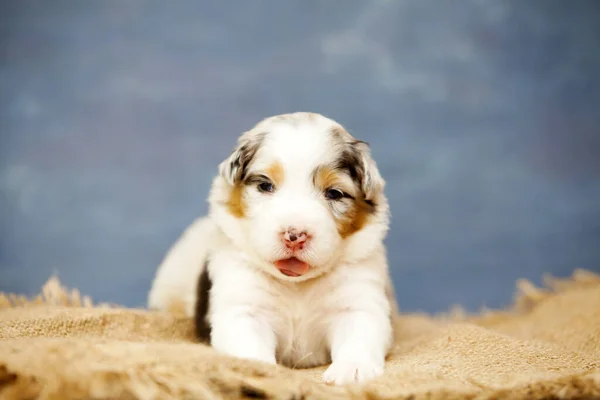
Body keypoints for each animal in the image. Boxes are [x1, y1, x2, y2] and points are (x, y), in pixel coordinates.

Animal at [148, 111, 396, 384]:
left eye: (334, 193)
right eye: (265, 186)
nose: (294, 235)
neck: (297, 286)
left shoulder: (359, 301)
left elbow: (360, 334)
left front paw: (352, 371)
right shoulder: (243, 306)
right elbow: (248, 344)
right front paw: (258, 370)